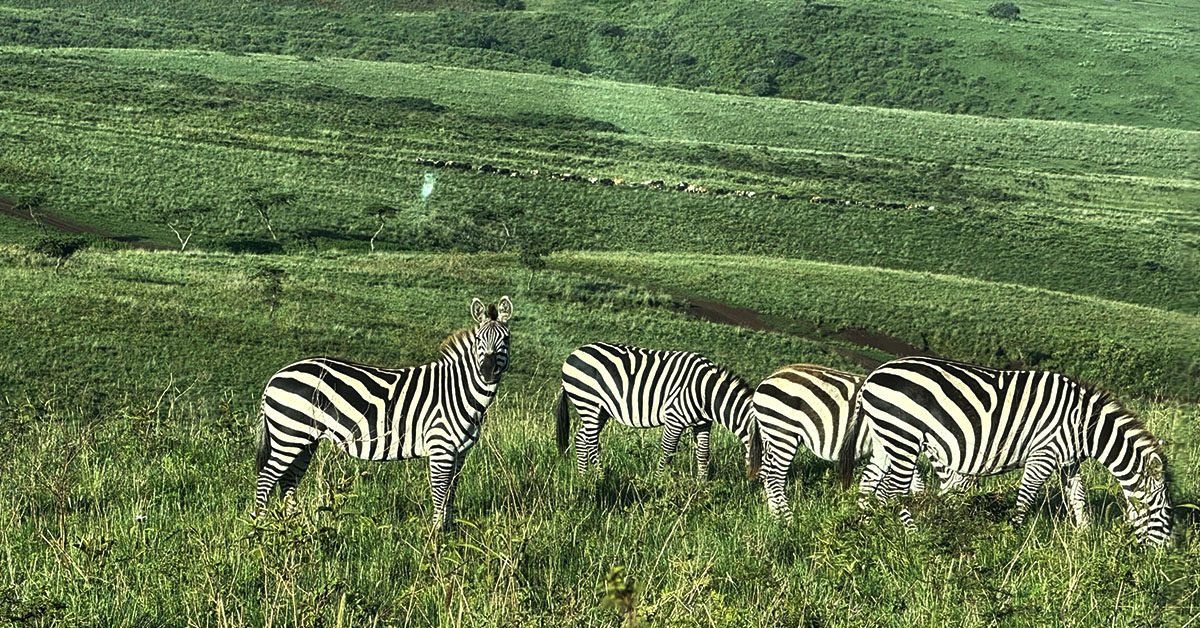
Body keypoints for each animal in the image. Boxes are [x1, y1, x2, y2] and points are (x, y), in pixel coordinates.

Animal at [254, 296, 512, 530]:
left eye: (506, 339)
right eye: (479, 339)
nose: (488, 372)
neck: (458, 390)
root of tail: (276, 376)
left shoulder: (460, 452)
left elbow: (451, 491)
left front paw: (449, 533)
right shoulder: (441, 447)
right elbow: (440, 492)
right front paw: (436, 535)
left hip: (305, 440)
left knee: (288, 480)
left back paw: (292, 526)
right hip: (289, 434)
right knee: (266, 478)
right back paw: (260, 528)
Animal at [555, 343, 761, 480]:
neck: (706, 392)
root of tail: (573, 354)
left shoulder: (703, 423)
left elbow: (703, 453)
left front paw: (702, 484)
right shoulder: (674, 417)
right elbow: (668, 450)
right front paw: (659, 481)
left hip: (600, 410)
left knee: (580, 438)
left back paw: (584, 478)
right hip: (588, 402)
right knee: (591, 442)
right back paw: (601, 477)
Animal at [754, 363, 974, 518]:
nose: (958, 518)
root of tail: (765, 381)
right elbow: (910, 482)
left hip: (771, 436)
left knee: (766, 475)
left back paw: (774, 517)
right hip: (784, 433)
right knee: (774, 478)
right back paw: (788, 520)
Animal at [838, 356, 1172, 545]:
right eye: (1163, 511)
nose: (1162, 557)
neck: (1083, 426)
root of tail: (872, 375)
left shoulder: (1069, 462)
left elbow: (1078, 499)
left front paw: (1084, 539)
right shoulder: (1043, 453)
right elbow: (1026, 499)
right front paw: (1012, 537)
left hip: (886, 436)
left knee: (870, 482)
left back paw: (864, 525)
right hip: (903, 434)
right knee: (893, 490)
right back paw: (913, 535)